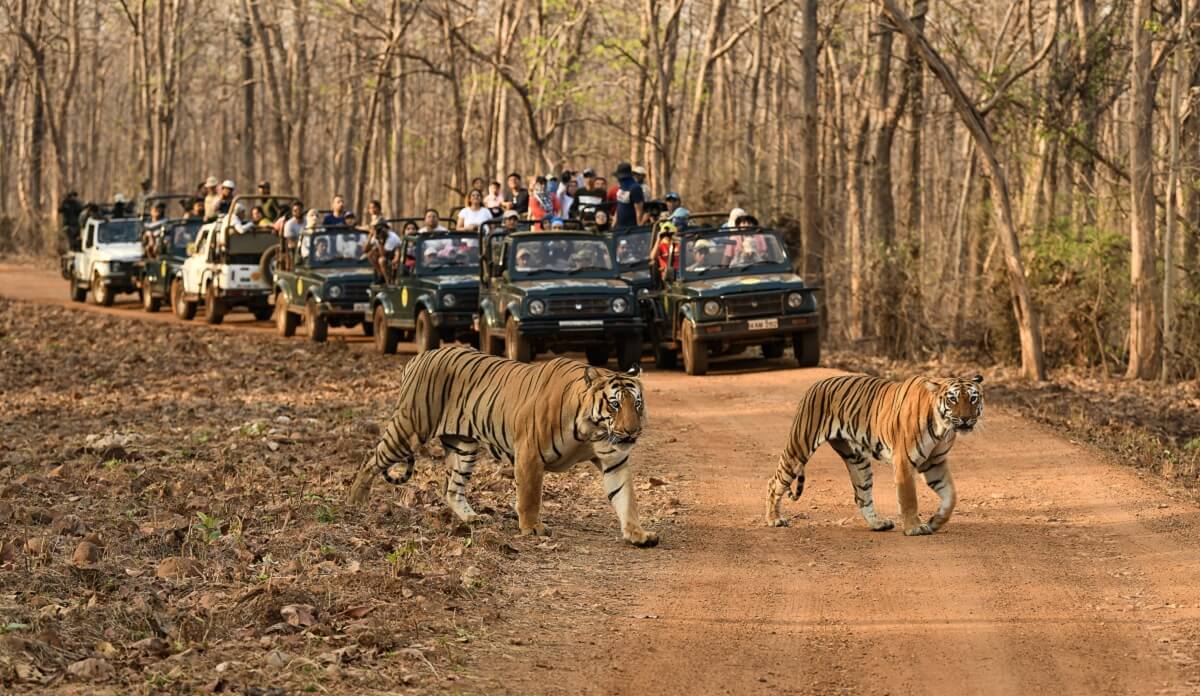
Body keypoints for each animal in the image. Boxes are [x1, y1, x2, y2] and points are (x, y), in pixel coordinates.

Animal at [347, 345, 659, 547]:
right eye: (615, 404)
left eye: (637, 404)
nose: (632, 431)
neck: (591, 430)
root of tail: (419, 356)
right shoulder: (529, 454)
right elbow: (530, 496)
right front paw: (532, 529)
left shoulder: (614, 460)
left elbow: (626, 498)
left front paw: (638, 534)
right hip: (410, 428)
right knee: (370, 459)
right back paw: (355, 501)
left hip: (463, 447)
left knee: (451, 488)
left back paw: (472, 519)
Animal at [765, 374, 983, 535]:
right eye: (953, 399)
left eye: (973, 398)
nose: (966, 419)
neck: (942, 429)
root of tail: (816, 384)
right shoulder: (904, 461)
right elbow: (909, 498)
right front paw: (914, 527)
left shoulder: (934, 463)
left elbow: (951, 496)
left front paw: (936, 521)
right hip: (799, 447)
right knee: (774, 482)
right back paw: (774, 519)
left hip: (857, 460)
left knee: (862, 496)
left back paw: (878, 523)